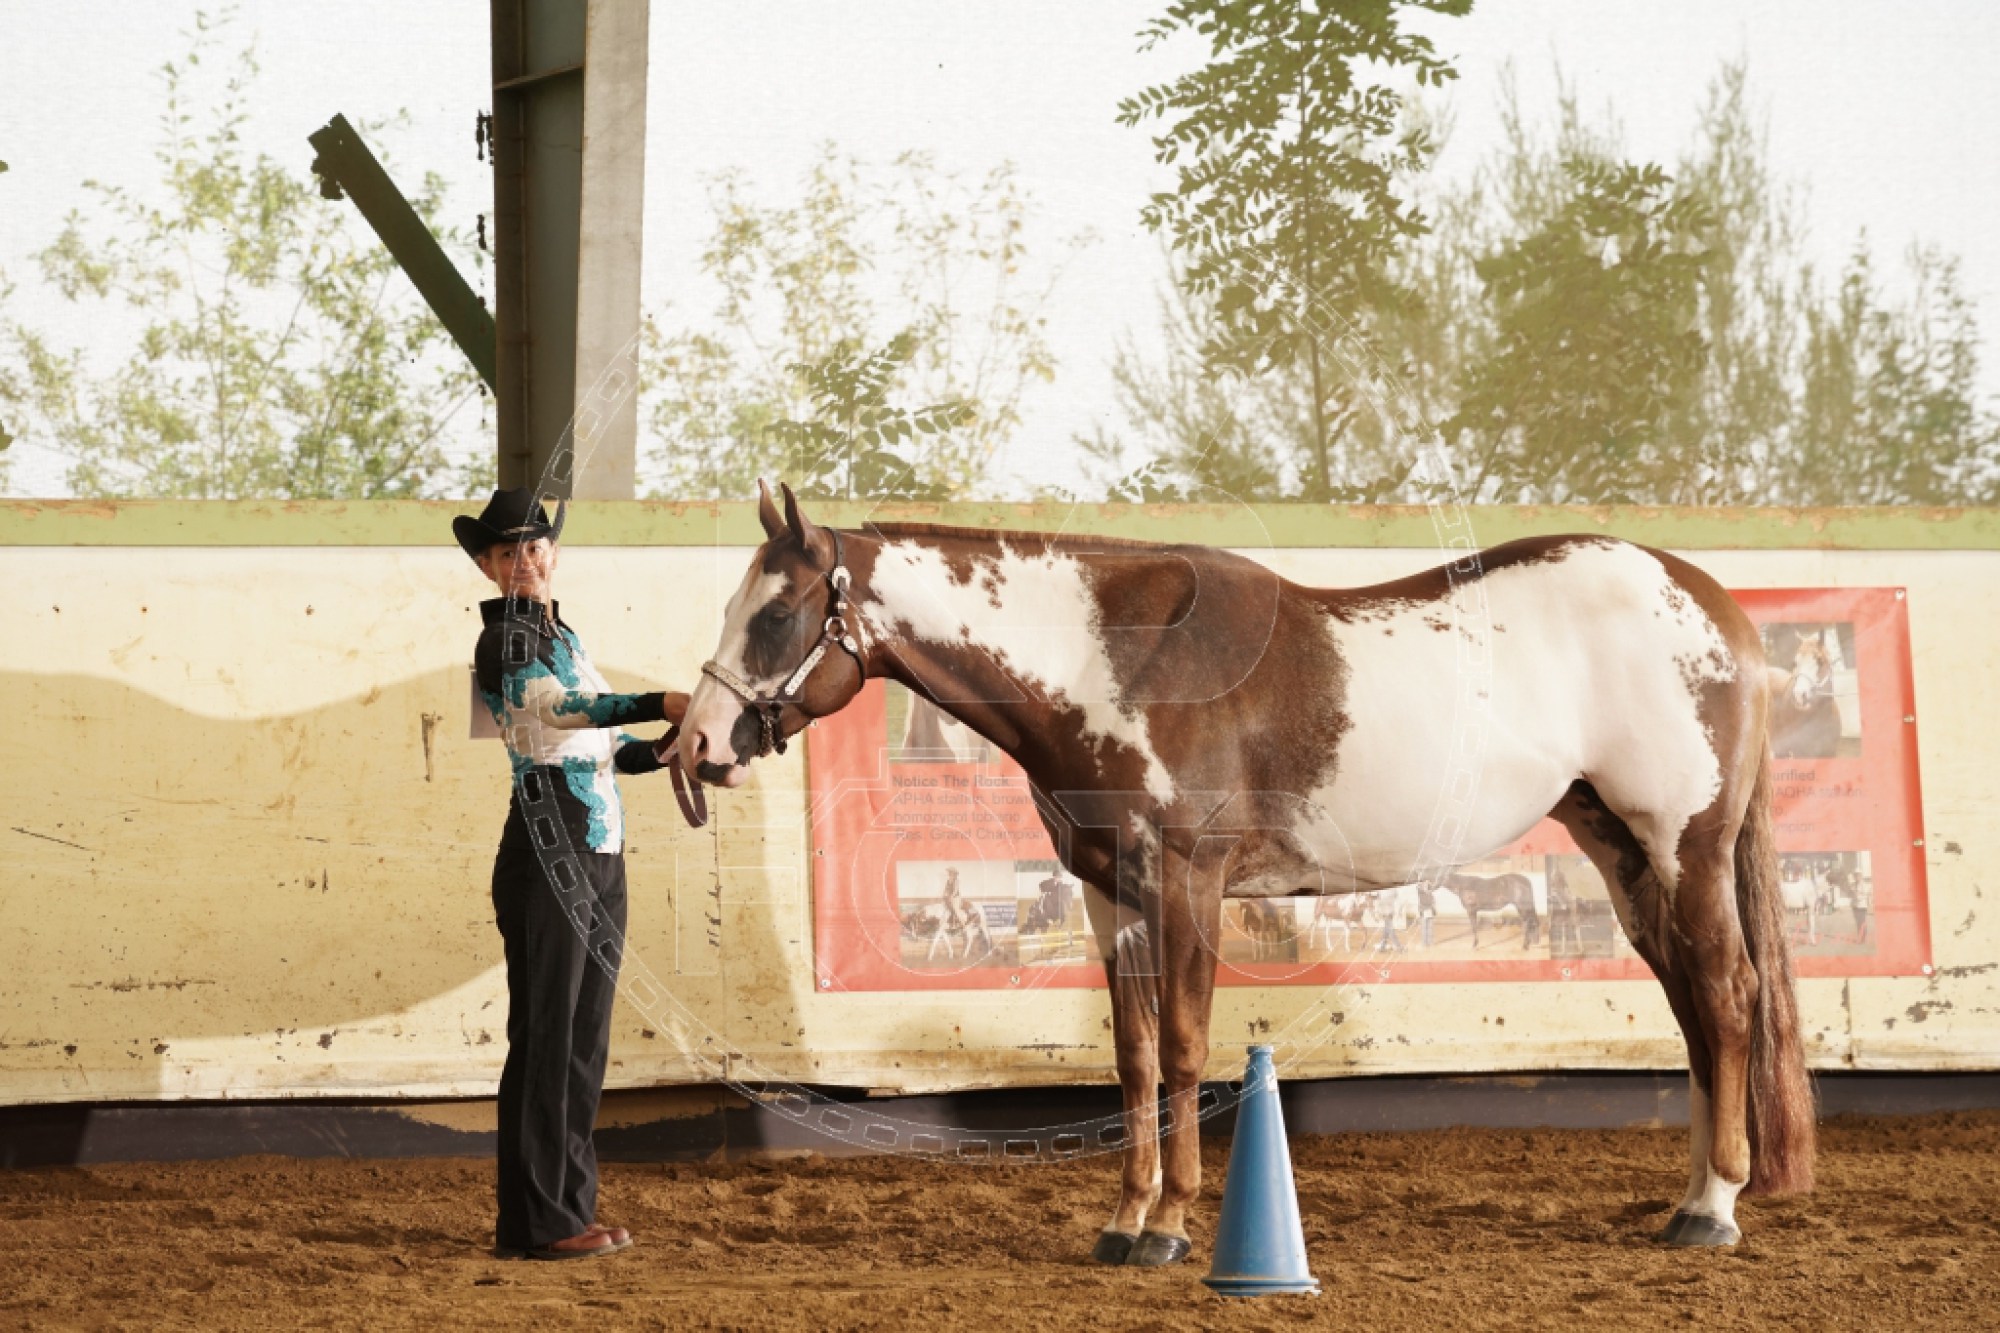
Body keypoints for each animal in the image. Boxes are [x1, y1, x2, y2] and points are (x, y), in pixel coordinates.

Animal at [683, 482, 1815, 1265]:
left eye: (775, 615)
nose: (693, 745)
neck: (1111, 662)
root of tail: (1716, 607)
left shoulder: (1187, 886)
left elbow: (1186, 1049)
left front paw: (1171, 1226)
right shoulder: (1112, 897)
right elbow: (1135, 1060)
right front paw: (1123, 1218)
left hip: (1685, 845)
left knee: (1728, 996)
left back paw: (1712, 1207)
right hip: (1622, 852)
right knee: (1694, 1013)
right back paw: (1688, 1195)